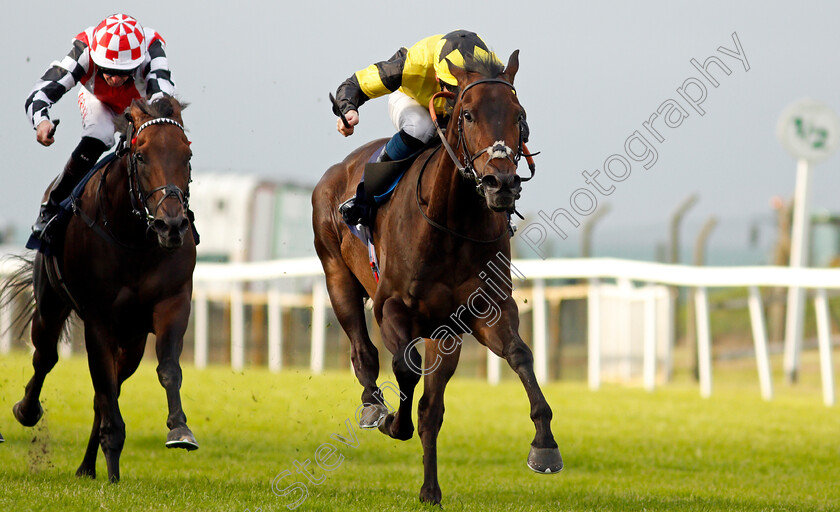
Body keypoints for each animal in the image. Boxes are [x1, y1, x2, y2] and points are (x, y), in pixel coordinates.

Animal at [6, 97, 199, 484]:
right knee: (45, 357)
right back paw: (27, 411)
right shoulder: (98, 320)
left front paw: (179, 429)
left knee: (109, 389)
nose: (171, 225)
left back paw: (87, 466)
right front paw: (113, 460)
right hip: (50, 305)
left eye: (186, 155)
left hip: (133, 340)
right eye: (141, 155)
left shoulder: (173, 303)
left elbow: (168, 368)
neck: (135, 239)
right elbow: (102, 387)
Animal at [312, 51, 560, 504]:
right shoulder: (392, 307)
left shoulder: (479, 314)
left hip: (442, 334)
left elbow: (520, 356)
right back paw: (373, 406)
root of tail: (336, 171)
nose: (501, 183)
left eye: (519, 115)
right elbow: (403, 367)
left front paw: (544, 444)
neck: (451, 224)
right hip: (337, 277)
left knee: (432, 408)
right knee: (363, 351)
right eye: (467, 114)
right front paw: (394, 422)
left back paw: (430, 489)